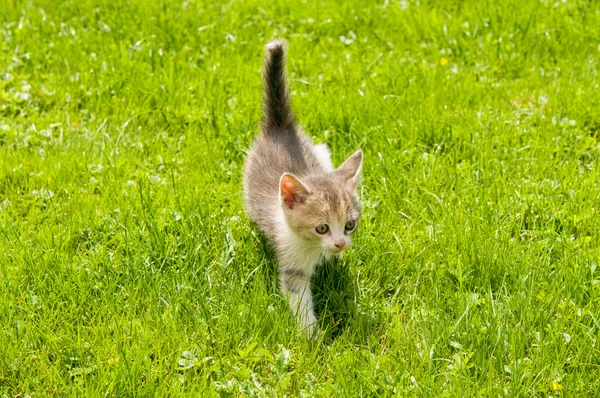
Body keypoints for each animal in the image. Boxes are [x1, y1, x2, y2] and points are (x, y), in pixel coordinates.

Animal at [243, 40, 364, 338]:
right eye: (322, 227)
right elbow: (298, 297)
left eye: (350, 225)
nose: (340, 243)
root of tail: (279, 127)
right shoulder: (291, 261)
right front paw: (311, 334)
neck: (311, 248)